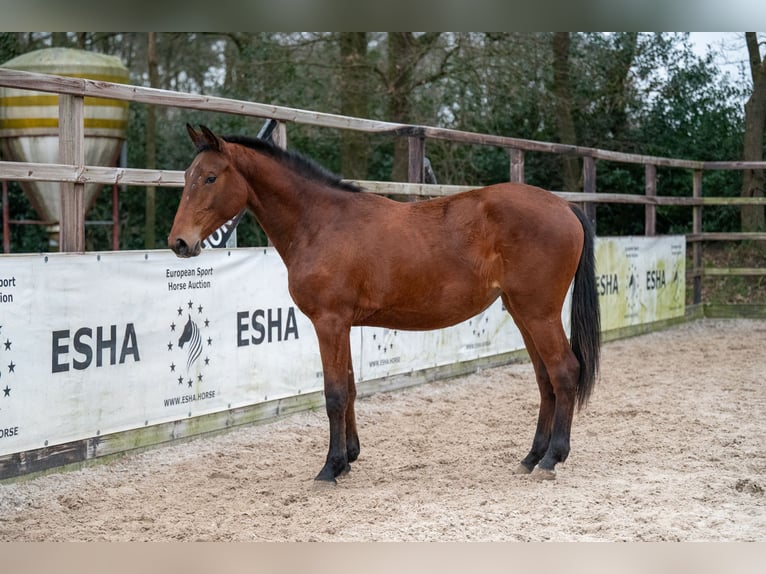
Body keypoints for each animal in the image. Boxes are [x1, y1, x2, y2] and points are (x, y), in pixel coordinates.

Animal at [166, 125, 600, 486]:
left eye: (210, 177)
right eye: (187, 176)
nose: (179, 242)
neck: (320, 223)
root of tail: (565, 207)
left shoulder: (329, 322)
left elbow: (334, 394)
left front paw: (330, 468)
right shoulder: (342, 325)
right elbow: (350, 388)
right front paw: (348, 458)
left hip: (539, 313)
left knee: (564, 371)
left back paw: (551, 459)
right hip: (523, 312)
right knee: (545, 378)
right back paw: (532, 456)